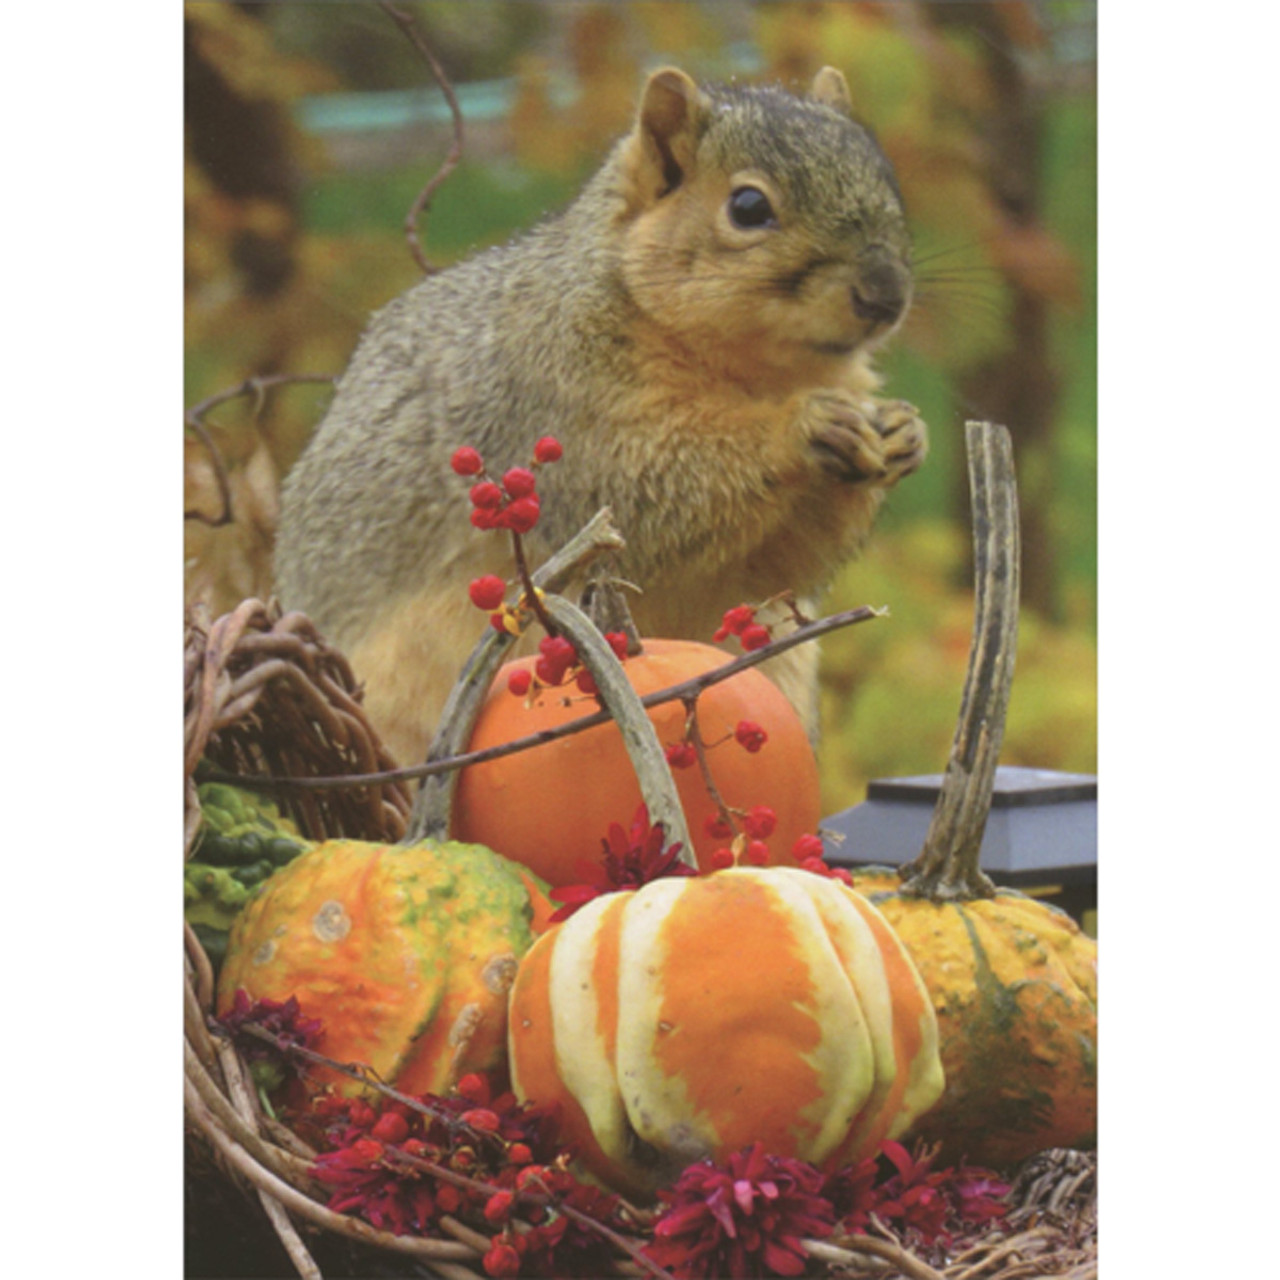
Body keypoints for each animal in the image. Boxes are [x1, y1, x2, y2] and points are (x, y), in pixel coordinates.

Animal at [274, 65, 927, 768]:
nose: (886, 295)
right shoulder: (557, 400)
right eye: (749, 208)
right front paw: (802, 426)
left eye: (887, 180)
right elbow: (639, 493)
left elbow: (781, 568)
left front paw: (903, 432)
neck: (756, 374)